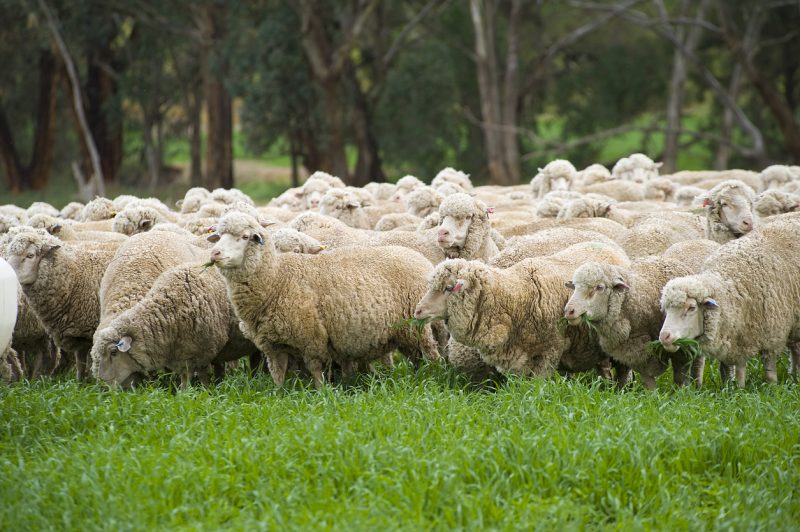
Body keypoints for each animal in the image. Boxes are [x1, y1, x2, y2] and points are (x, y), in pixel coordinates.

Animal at [92, 264, 258, 388]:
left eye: (114, 352)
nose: (102, 383)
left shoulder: (203, 351)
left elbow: (201, 377)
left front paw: (203, 392)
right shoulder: (184, 356)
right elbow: (186, 379)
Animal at [209, 211, 440, 386]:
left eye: (245, 237)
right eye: (219, 235)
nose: (215, 253)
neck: (277, 279)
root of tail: (418, 258)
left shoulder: (311, 337)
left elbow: (315, 370)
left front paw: (321, 393)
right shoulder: (272, 346)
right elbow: (278, 374)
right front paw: (279, 394)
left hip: (417, 326)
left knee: (430, 354)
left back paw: (433, 376)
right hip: (403, 332)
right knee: (416, 357)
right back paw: (418, 376)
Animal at [564, 256, 700, 388]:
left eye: (600, 287)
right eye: (574, 286)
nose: (569, 311)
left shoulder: (679, 348)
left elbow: (680, 376)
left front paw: (681, 391)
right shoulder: (635, 353)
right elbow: (644, 379)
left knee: (698, 365)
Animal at [656, 218, 800, 388]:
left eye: (691, 308)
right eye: (666, 310)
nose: (664, 337)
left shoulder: (772, 334)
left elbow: (769, 370)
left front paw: (772, 388)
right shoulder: (738, 338)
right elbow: (738, 369)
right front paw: (738, 388)